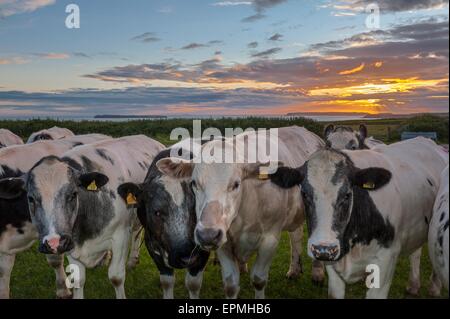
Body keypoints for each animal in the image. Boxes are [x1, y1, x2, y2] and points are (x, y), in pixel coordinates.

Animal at [118, 139, 212, 300]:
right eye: (157, 212)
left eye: (195, 208)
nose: (186, 256)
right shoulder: (152, 244)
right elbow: (167, 282)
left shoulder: (202, 250)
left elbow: (193, 284)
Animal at [156, 127, 326, 300]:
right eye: (194, 183)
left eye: (236, 184)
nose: (207, 235)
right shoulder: (223, 243)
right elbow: (231, 285)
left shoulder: (270, 239)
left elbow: (258, 280)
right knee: (296, 235)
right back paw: (294, 269)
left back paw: (317, 274)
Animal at [268, 138, 448, 300]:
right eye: (304, 194)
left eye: (347, 194)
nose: (323, 249)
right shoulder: (334, 266)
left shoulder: (386, 261)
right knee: (415, 252)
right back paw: (413, 285)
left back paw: (434, 287)